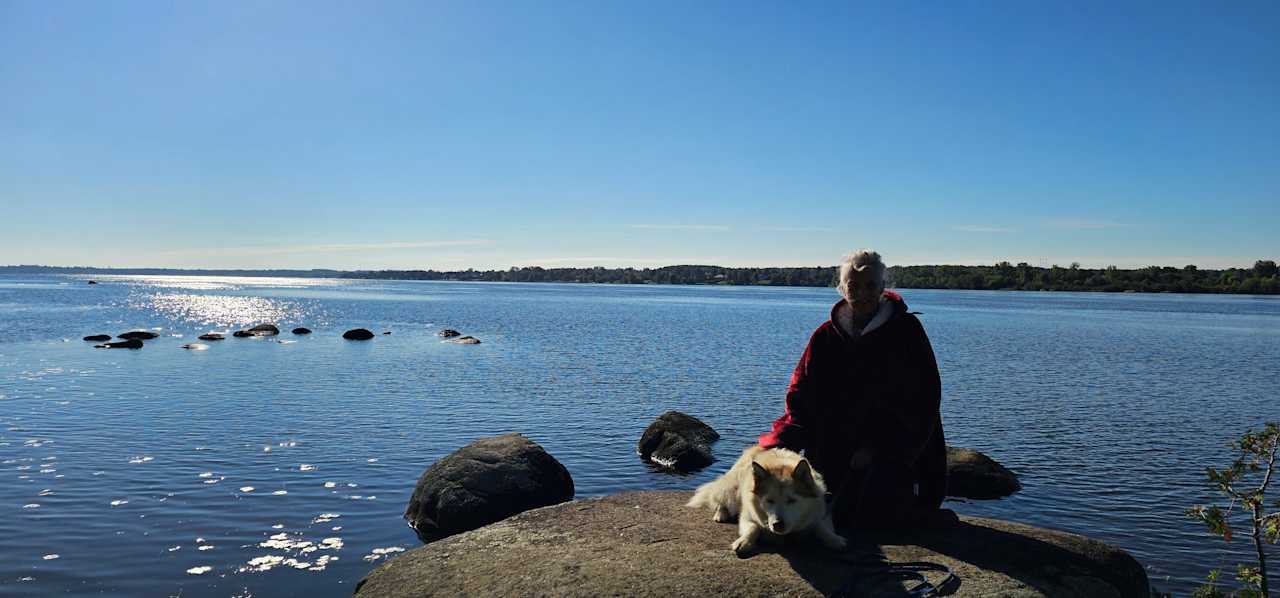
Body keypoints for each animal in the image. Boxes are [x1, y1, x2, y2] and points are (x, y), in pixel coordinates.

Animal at [686, 445, 844, 558]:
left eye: (792, 500)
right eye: (769, 500)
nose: (778, 525)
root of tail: (755, 448)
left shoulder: (822, 511)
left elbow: (820, 526)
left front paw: (834, 539)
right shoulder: (747, 516)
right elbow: (753, 527)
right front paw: (744, 542)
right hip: (732, 490)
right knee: (721, 500)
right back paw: (721, 514)